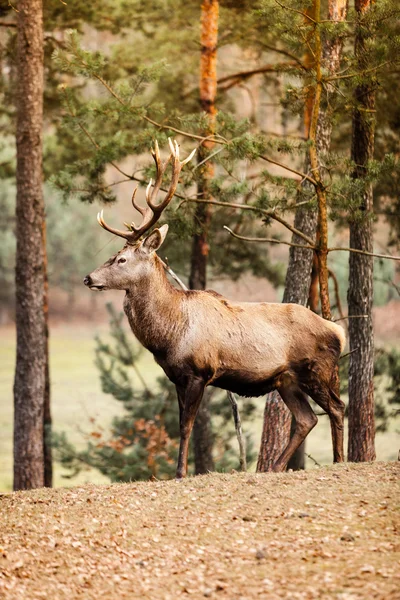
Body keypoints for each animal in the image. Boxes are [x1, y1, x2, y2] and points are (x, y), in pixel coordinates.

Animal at [84, 139, 346, 478]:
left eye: (121, 259)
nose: (89, 278)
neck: (169, 335)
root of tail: (338, 330)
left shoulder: (199, 371)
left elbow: (186, 426)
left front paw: (181, 472)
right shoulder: (176, 376)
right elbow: (181, 424)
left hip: (318, 369)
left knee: (337, 407)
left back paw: (340, 460)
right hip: (286, 379)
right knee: (307, 418)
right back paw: (273, 467)